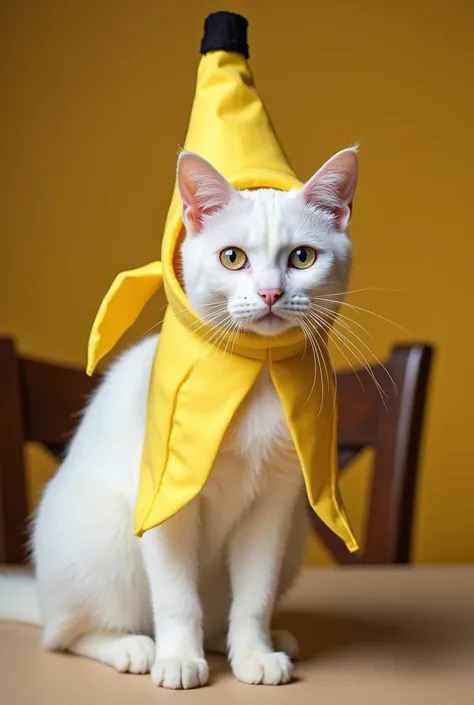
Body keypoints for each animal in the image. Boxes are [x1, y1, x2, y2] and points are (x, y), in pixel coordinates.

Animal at [0, 147, 356, 688]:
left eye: (302, 257)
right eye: (233, 257)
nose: (271, 293)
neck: (252, 373)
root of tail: (41, 597)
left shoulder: (273, 505)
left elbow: (254, 596)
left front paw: (253, 653)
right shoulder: (166, 498)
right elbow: (175, 598)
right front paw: (178, 659)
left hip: (293, 533)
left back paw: (257, 640)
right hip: (104, 541)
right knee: (66, 634)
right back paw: (133, 647)